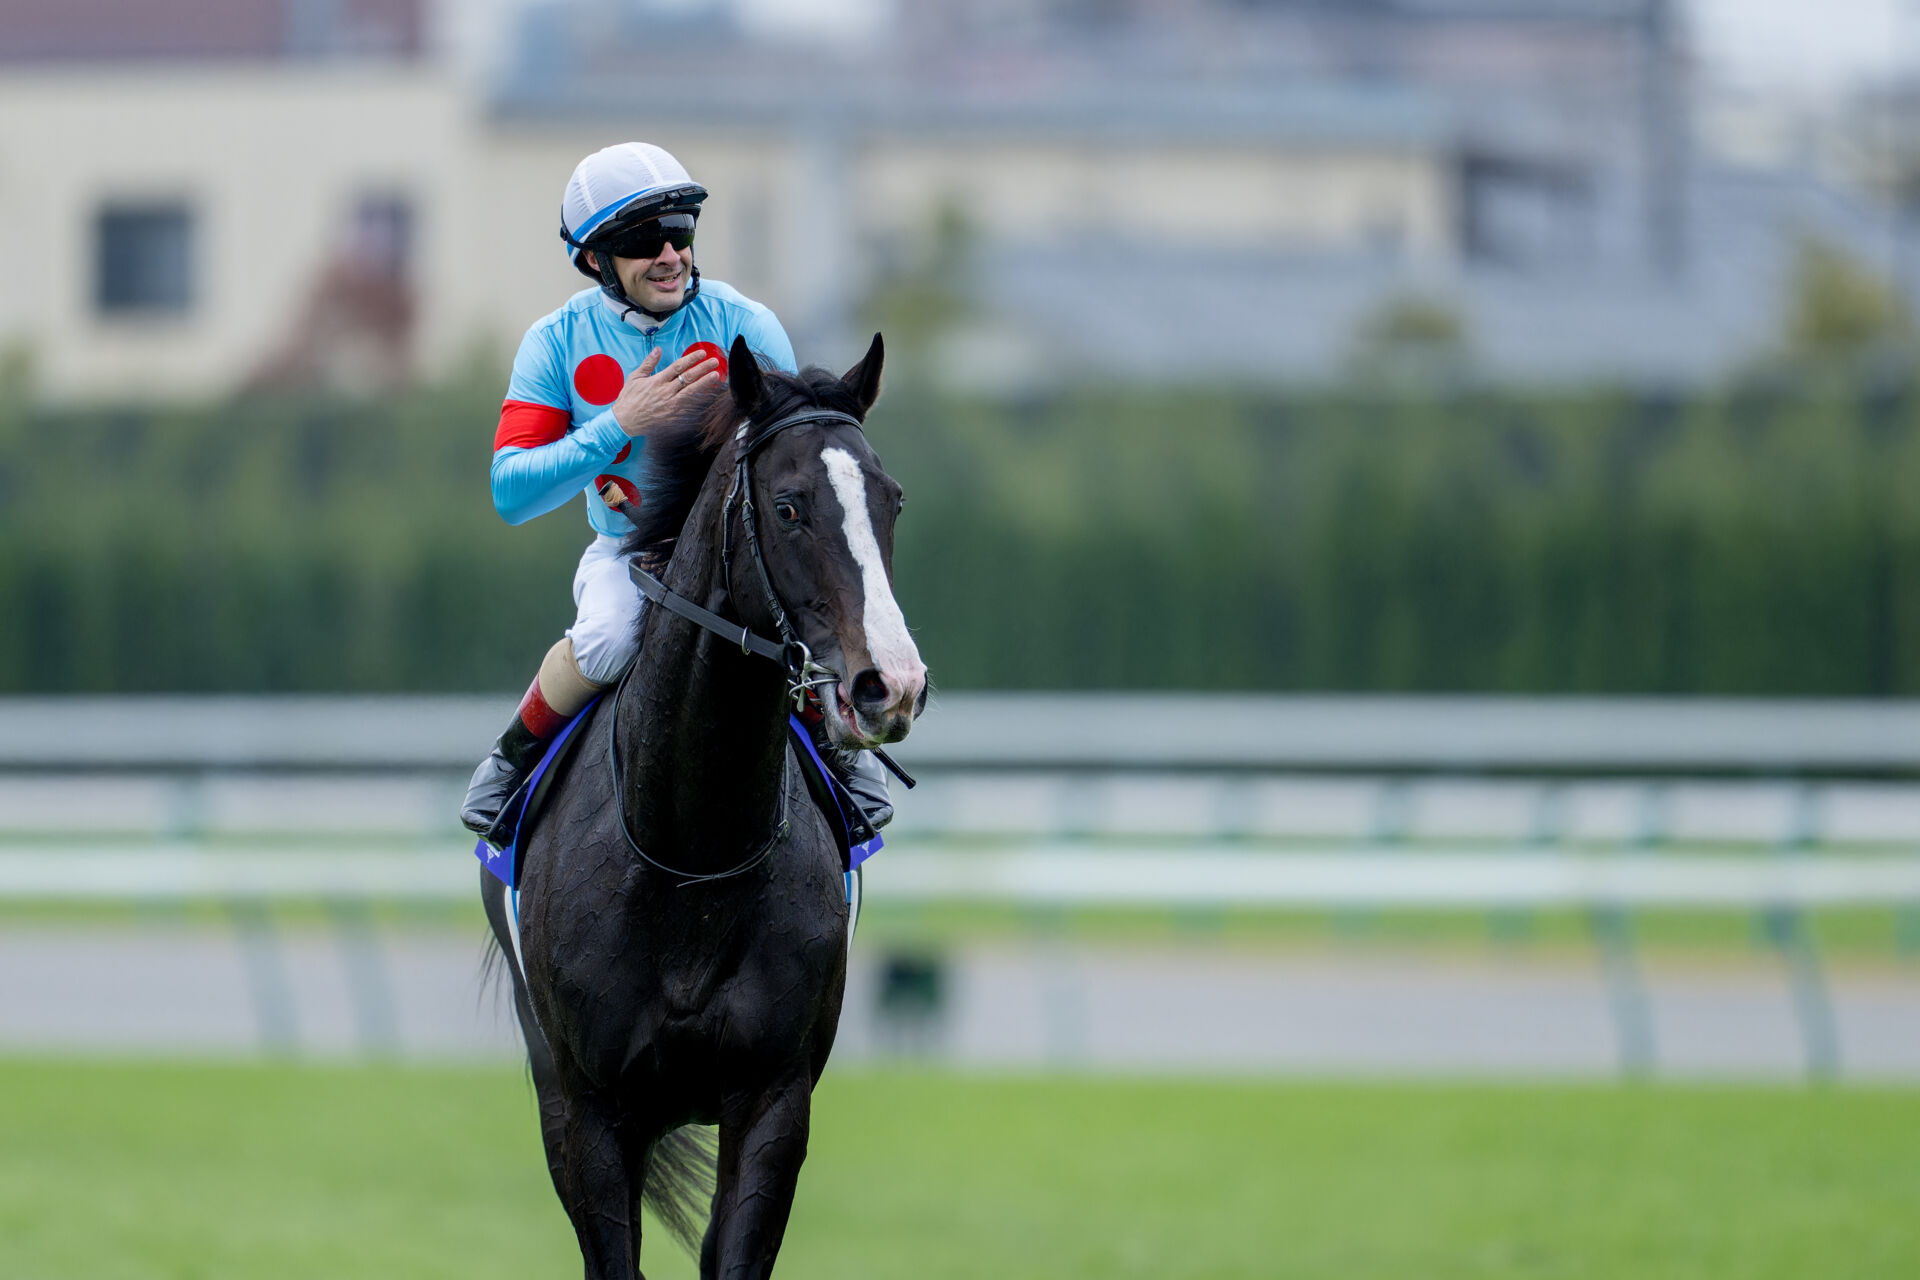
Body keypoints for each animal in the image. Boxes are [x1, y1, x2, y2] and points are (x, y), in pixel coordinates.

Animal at [480, 331, 927, 1279]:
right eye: (790, 507)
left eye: (892, 500)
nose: (891, 685)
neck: (694, 855)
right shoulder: (592, 1107)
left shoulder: (771, 1098)